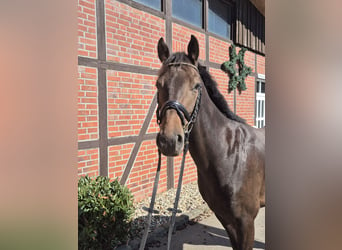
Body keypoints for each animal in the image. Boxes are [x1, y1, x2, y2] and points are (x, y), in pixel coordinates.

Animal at [155, 35, 264, 250]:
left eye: (196, 86)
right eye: (158, 84)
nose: (169, 141)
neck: (229, 153)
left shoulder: (246, 222)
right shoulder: (227, 219)